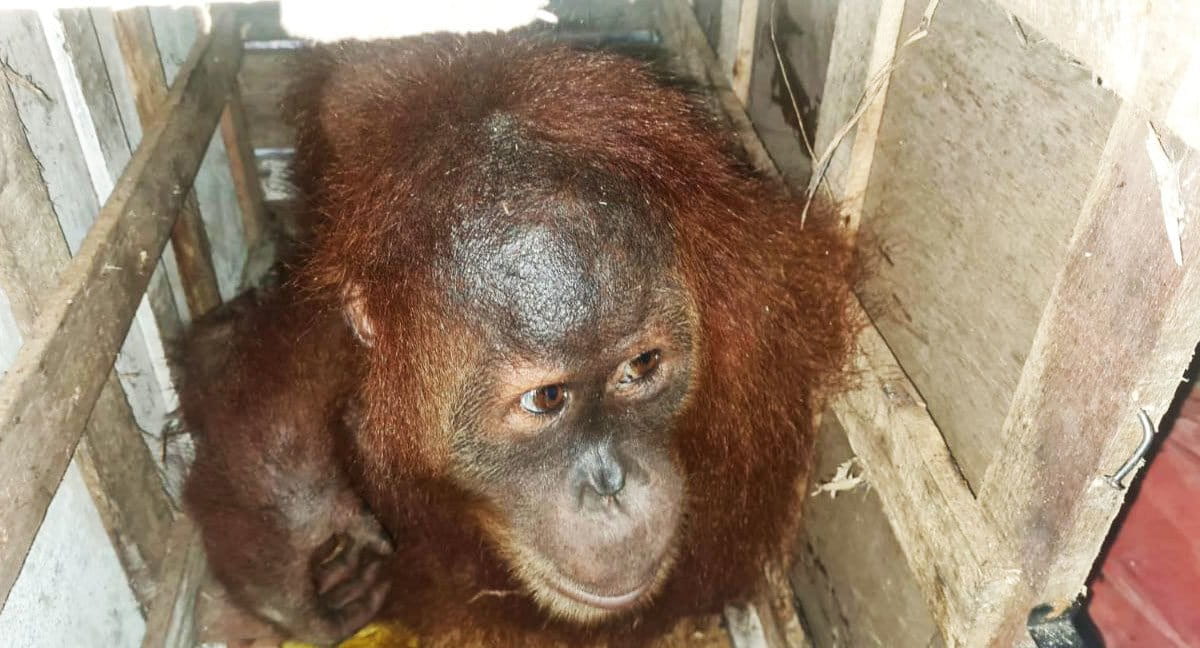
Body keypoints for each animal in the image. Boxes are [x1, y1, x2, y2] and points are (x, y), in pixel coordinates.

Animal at [181, 32, 857, 647]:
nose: (611, 488)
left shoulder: (753, 306)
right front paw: (305, 563)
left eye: (641, 366)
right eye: (546, 399)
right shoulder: (327, 318)